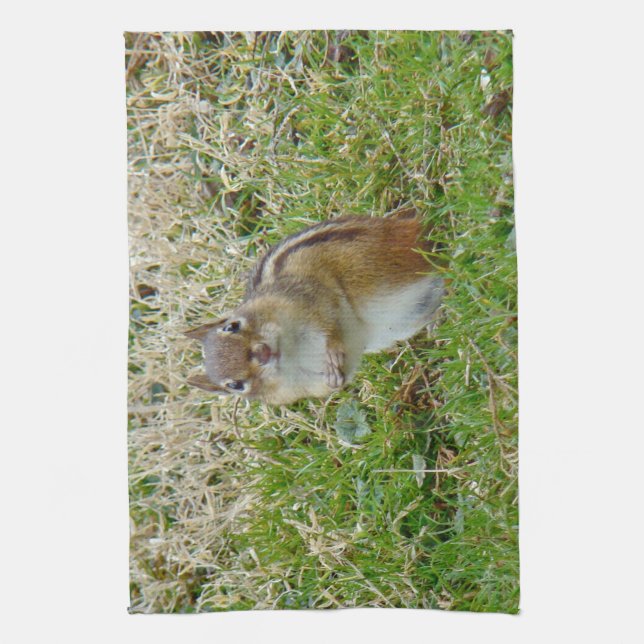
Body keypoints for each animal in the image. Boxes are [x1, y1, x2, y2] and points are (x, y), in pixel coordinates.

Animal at [184, 208, 445, 405]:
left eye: (232, 326)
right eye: (235, 385)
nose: (263, 353)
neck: (292, 350)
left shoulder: (312, 300)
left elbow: (331, 321)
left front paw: (332, 350)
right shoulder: (308, 385)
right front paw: (335, 378)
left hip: (372, 273)